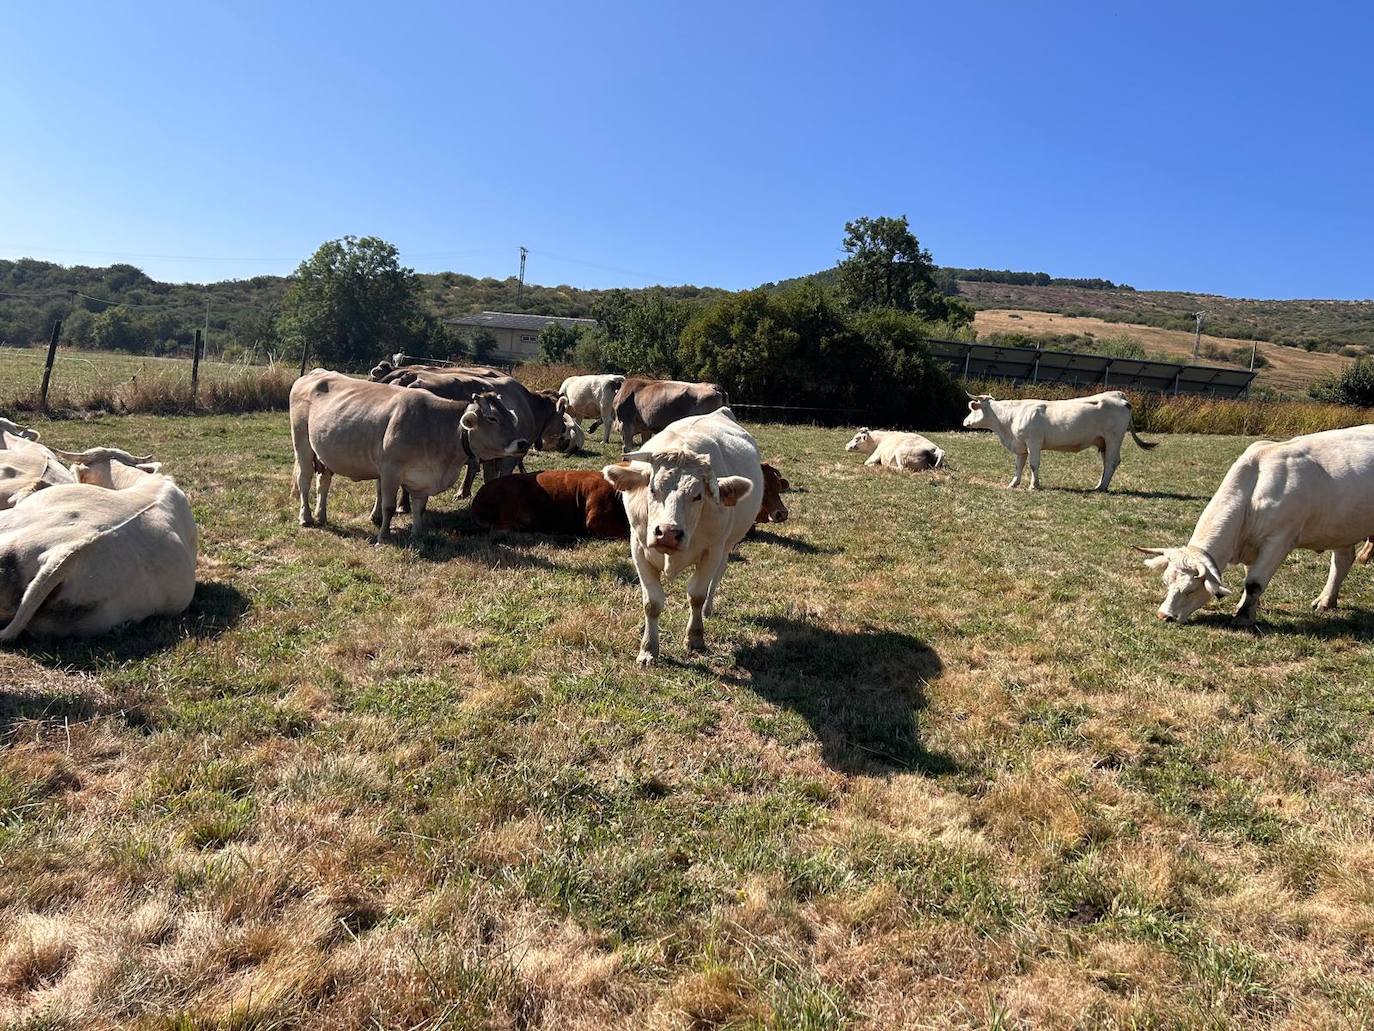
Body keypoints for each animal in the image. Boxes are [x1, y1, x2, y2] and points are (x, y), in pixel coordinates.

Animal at [607, 406, 769, 665]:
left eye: (698, 496)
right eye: (652, 489)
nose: (667, 533)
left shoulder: (712, 549)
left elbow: (696, 595)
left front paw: (695, 638)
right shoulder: (639, 548)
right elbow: (652, 602)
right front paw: (648, 649)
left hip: (727, 545)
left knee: (717, 575)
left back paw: (708, 610)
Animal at [967, 393, 1159, 494]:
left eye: (972, 409)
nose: (964, 421)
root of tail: (1118, 395)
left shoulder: (1033, 441)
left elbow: (1033, 464)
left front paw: (1034, 485)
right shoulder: (1021, 445)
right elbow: (1019, 465)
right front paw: (1013, 483)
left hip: (1114, 438)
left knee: (1112, 462)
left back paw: (1101, 487)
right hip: (1104, 441)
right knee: (1106, 463)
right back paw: (1098, 485)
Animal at [1143, 423, 1374, 626]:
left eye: (1190, 590)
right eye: (1166, 582)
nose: (1163, 616)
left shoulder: (1279, 540)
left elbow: (1254, 583)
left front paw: (1243, 617)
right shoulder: (1252, 544)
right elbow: (1249, 579)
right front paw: (1243, 607)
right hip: (1342, 528)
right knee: (1342, 560)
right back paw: (1326, 600)